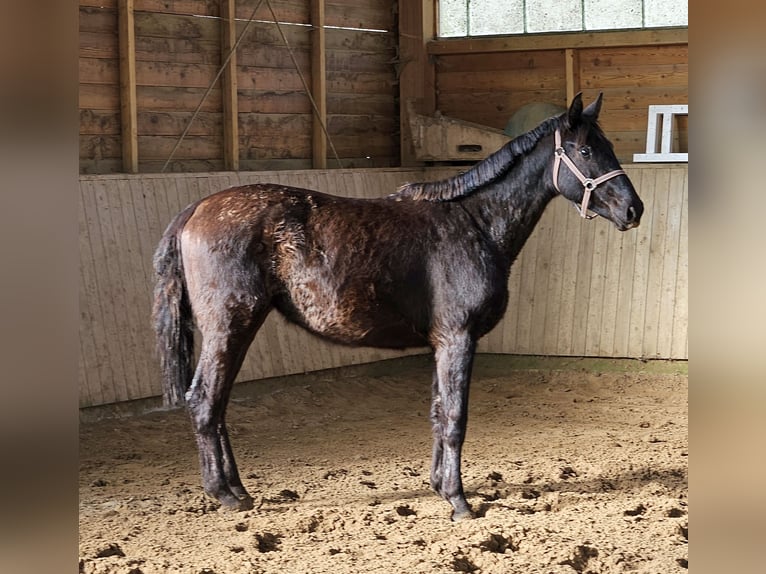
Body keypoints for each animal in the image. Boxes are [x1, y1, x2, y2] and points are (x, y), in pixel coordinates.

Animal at [153, 94, 644, 520]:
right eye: (585, 150)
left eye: (608, 147)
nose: (633, 209)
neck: (474, 222)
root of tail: (197, 209)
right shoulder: (457, 338)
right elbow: (455, 416)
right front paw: (459, 502)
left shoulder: (440, 343)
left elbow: (437, 411)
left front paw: (439, 486)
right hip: (231, 325)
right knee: (204, 400)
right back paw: (224, 494)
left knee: (218, 404)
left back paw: (239, 489)